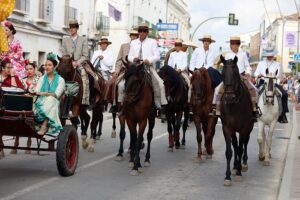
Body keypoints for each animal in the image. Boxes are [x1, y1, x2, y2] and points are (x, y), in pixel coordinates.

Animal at [219, 55, 254, 187]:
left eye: (235, 73)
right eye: (222, 73)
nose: (229, 97)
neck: (234, 105)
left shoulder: (244, 128)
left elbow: (240, 149)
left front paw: (239, 173)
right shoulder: (227, 128)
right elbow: (230, 151)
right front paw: (228, 176)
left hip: (249, 127)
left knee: (245, 143)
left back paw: (243, 164)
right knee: (235, 144)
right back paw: (235, 166)